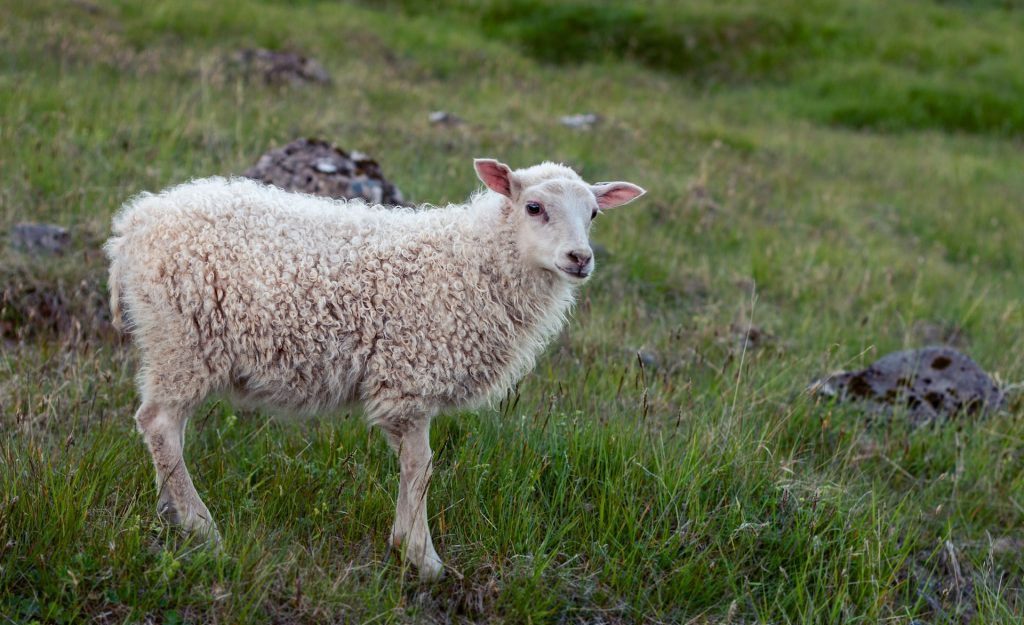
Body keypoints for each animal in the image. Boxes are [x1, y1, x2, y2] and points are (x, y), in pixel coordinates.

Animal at [105, 157, 647, 577]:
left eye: (594, 213)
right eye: (534, 208)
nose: (580, 258)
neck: (470, 265)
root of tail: (134, 224)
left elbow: (417, 468)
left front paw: (409, 546)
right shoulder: (409, 377)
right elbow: (421, 467)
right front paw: (421, 557)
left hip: (171, 342)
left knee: (164, 429)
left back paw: (171, 512)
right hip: (182, 339)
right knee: (159, 423)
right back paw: (202, 526)